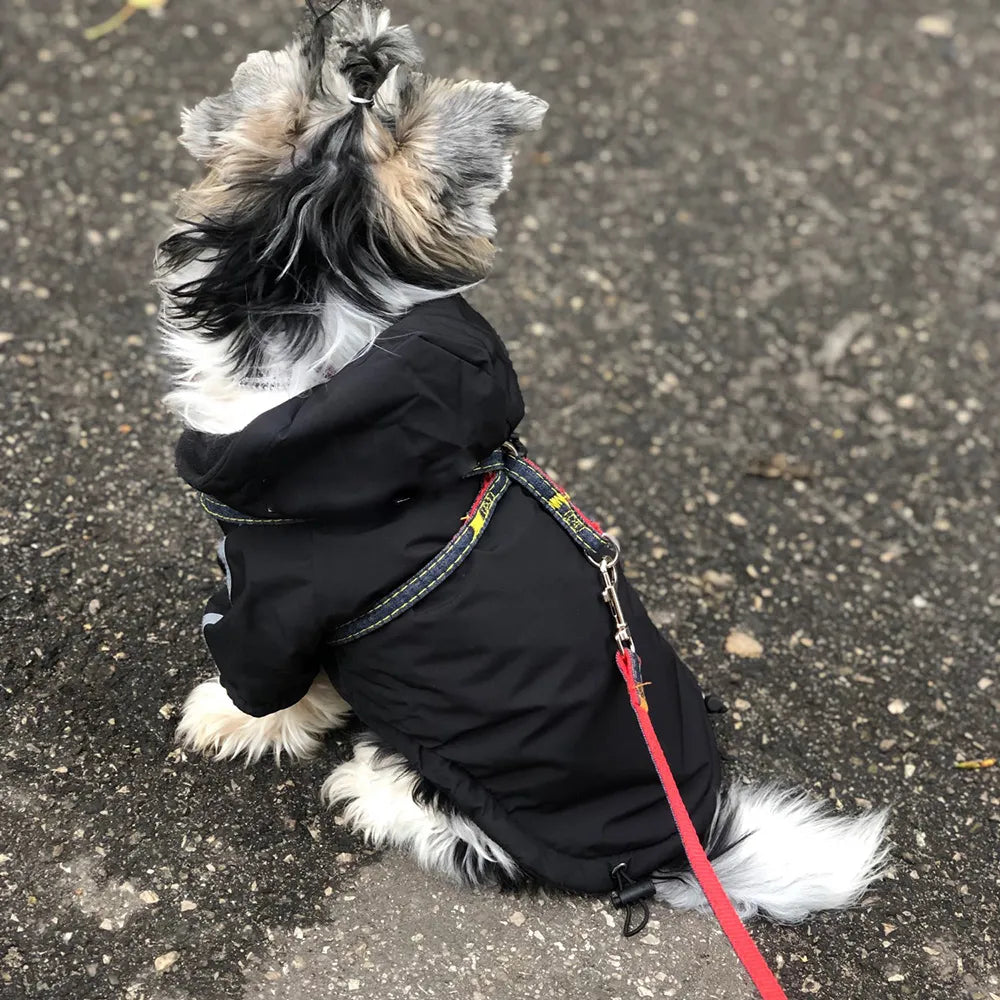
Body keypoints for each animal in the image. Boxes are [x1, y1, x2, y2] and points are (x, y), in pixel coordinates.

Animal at [158, 1, 892, 928]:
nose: (362, 47)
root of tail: (681, 848)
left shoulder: (272, 602)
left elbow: (263, 678)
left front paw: (224, 719)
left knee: (471, 844)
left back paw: (370, 789)